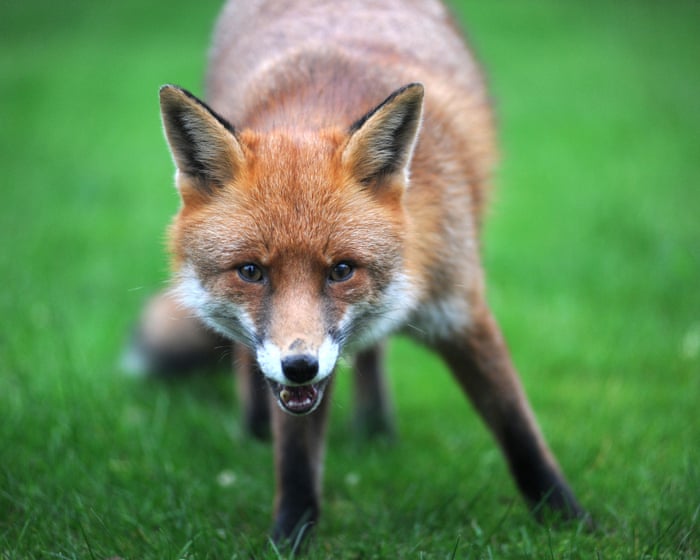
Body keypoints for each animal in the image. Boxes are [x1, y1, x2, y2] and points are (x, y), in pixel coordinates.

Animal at [133, 0, 587, 550]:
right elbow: (297, 460)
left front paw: (571, 520)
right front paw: (289, 540)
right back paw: (256, 429)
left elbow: (517, 427)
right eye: (251, 272)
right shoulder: (294, 383)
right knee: (252, 367)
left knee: (372, 356)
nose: (299, 366)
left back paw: (375, 429)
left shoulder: (461, 309)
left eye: (342, 270)